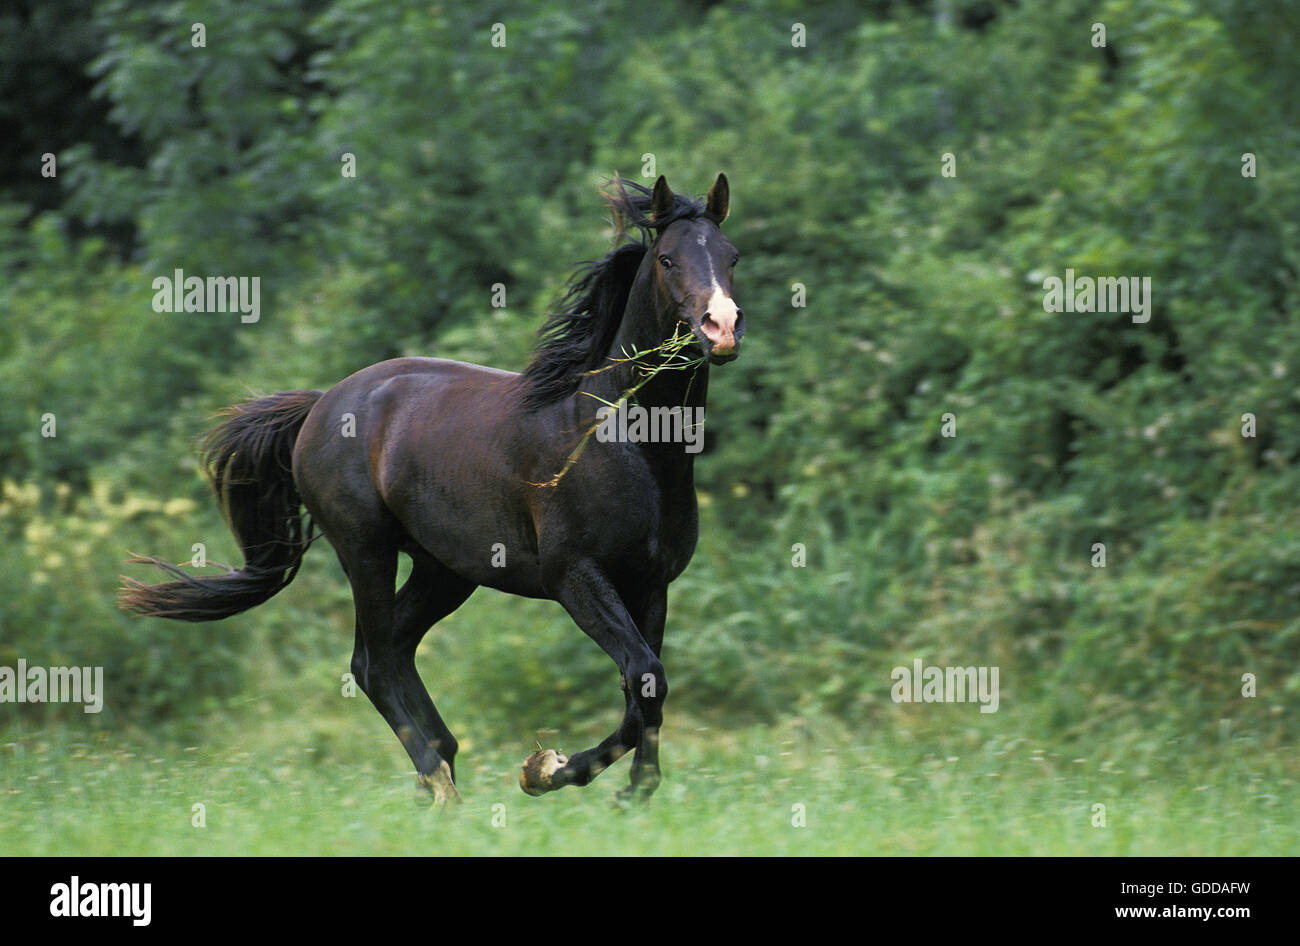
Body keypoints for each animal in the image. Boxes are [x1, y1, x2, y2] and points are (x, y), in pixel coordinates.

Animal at [120, 174, 743, 800]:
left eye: (731, 256)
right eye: (667, 259)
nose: (721, 328)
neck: (629, 446)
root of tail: (320, 406)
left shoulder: (651, 583)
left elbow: (645, 689)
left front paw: (630, 789)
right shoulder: (575, 576)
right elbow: (645, 676)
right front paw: (548, 771)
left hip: (443, 570)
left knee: (393, 648)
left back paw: (442, 765)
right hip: (366, 552)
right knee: (372, 664)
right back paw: (439, 782)